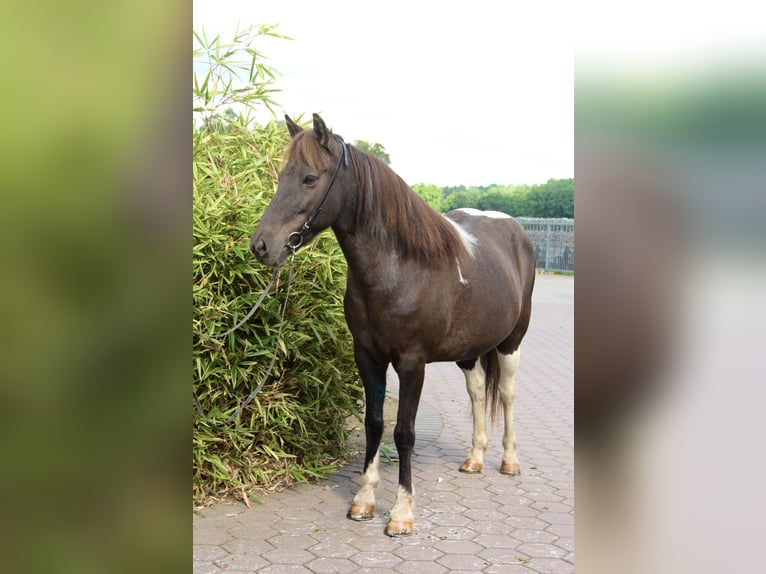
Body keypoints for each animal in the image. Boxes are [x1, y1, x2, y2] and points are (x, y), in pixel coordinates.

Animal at [251, 114, 536, 537]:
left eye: (309, 178)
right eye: (283, 174)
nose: (261, 245)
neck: (397, 270)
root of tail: (516, 231)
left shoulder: (412, 364)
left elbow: (404, 432)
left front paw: (401, 513)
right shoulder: (368, 357)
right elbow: (374, 424)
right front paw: (364, 500)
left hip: (511, 342)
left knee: (508, 394)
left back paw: (509, 461)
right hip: (469, 351)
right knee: (478, 392)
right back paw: (475, 458)